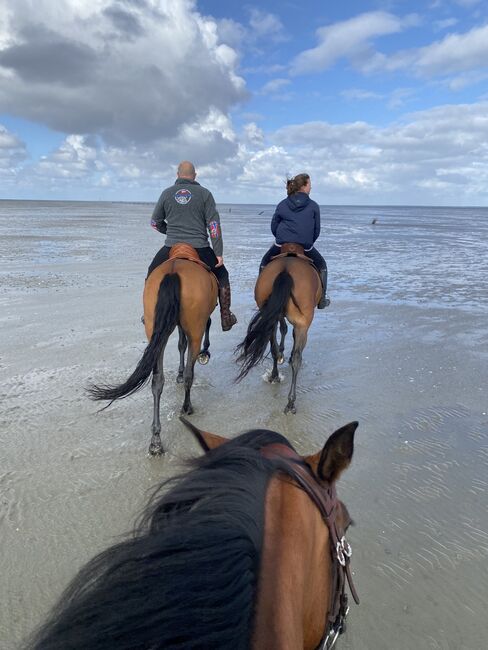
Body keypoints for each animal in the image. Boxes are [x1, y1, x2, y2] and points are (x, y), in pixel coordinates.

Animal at [87, 244, 217, 456]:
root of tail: (173, 270)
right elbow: (193, 339)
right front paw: (198, 359)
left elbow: (181, 344)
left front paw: (178, 373)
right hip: (194, 327)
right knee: (190, 373)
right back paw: (186, 407)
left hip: (155, 329)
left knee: (157, 381)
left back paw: (156, 440)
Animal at [235, 246, 322, 412]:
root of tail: (285, 270)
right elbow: (287, 331)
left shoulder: (278, 314)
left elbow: (283, 329)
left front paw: (282, 354)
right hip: (303, 323)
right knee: (297, 357)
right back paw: (290, 402)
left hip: (270, 317)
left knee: (273, 347)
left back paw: (274, 376)